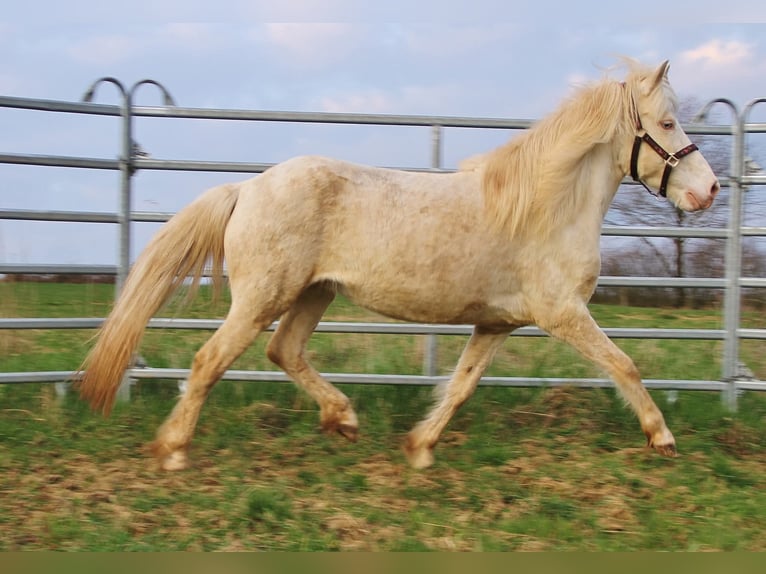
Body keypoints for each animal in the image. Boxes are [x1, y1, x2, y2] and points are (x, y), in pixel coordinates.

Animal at [77, 59, 719, 471]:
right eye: (666, 123)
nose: (709, 190)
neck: (545, 208)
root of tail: (249, 187)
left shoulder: (497, 323)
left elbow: (461, 386)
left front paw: (419, 447)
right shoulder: (562, 313)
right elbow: (625, 365)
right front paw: (662, 438)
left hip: (314, 293)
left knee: (284, 351)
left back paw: (343, 419)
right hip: (263, 297)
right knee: (211, 360)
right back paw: (173, 451)